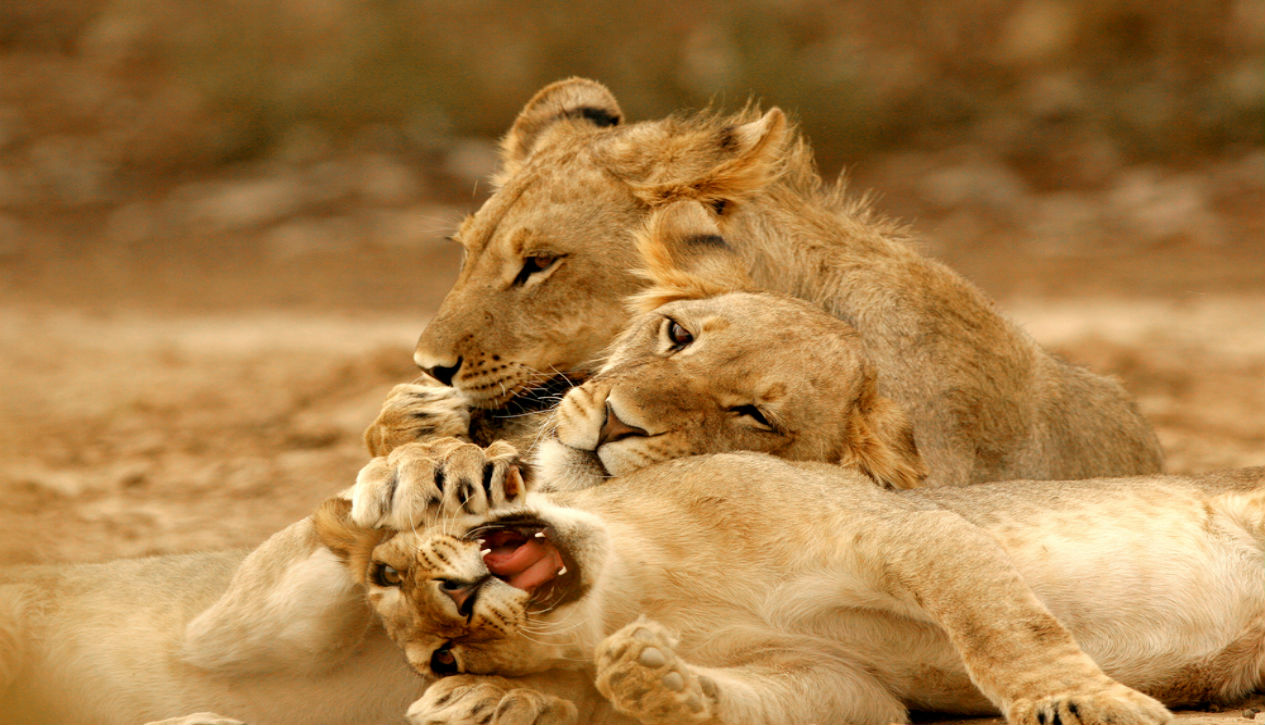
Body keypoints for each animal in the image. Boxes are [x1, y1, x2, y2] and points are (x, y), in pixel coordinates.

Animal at [320, 442, 1265, 724]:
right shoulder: (838, 680)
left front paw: (1077, 701)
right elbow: (774, 700)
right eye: (443, 658)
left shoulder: (893, 527)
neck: (643, 583)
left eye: (386, 569)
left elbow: (1000, 628)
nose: (454, 606)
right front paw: (659, 684)